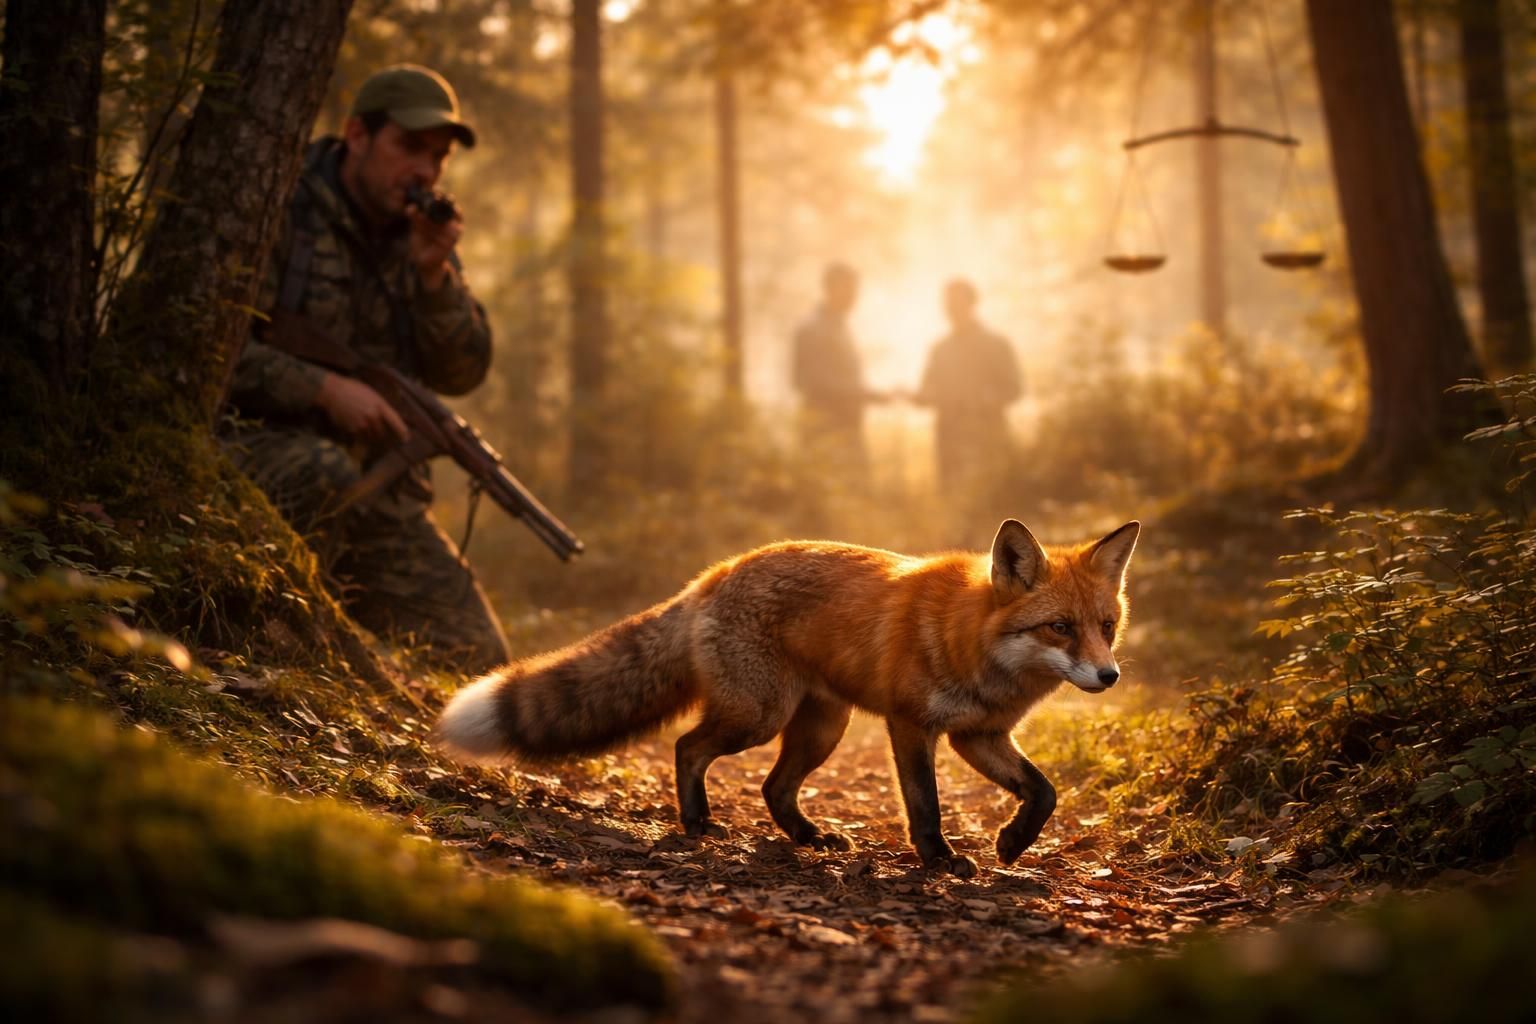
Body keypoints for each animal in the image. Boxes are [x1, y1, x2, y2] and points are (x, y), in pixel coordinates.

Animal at [436, 518, 1139, 877]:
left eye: (1105, 627)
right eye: (1059, 628)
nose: (1109, 677)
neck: (975, 646)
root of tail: (716, 572)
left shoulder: (979, 734)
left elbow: (1043, 791)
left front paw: (1013, 843)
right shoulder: (912, 726)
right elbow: (926, 805)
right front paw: (938, 860)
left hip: (821, 728)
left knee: (773, 787)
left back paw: (807, 837)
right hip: (759, 716)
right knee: (689, 746)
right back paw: (696, 822)